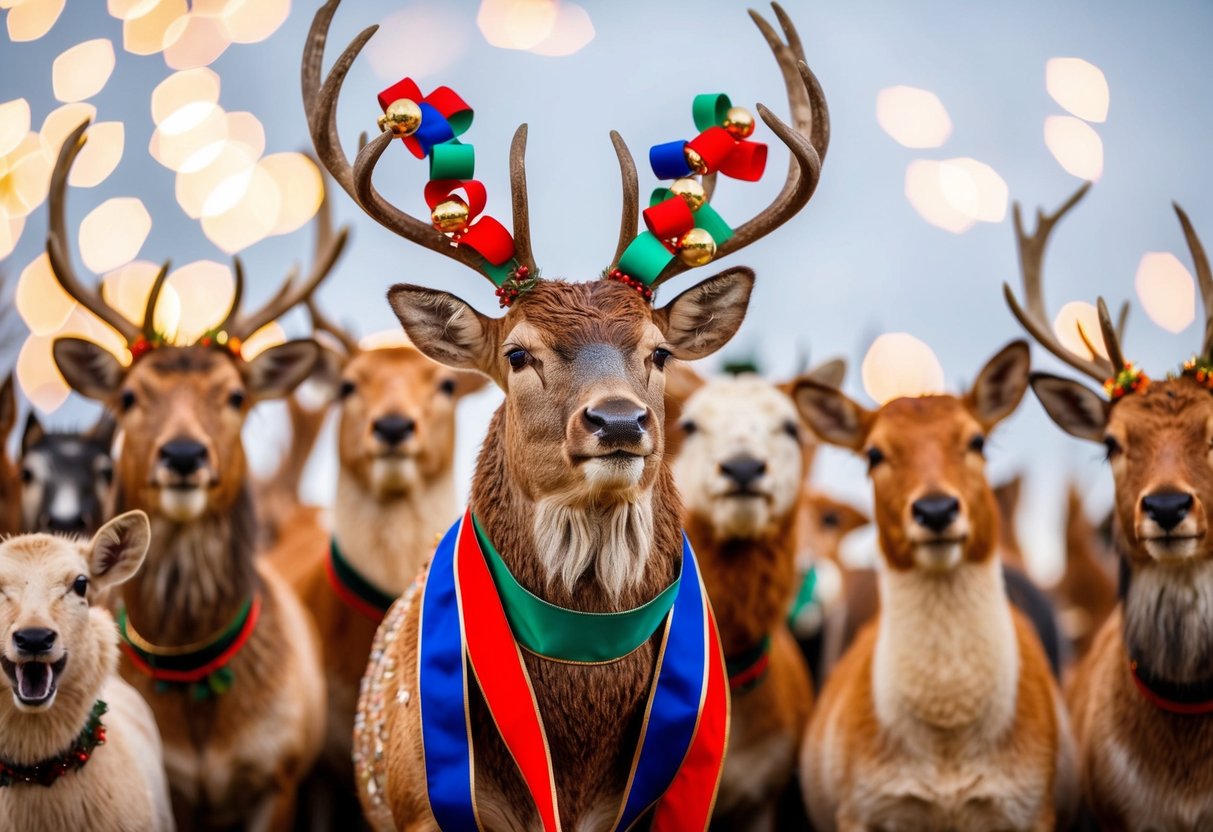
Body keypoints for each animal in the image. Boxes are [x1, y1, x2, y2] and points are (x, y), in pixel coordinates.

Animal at [793, 340, 1077, 831]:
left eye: (977, 440)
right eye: (873, 453)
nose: (937, 509)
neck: (948, 742)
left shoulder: (1034, 809)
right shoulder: (859, 807)